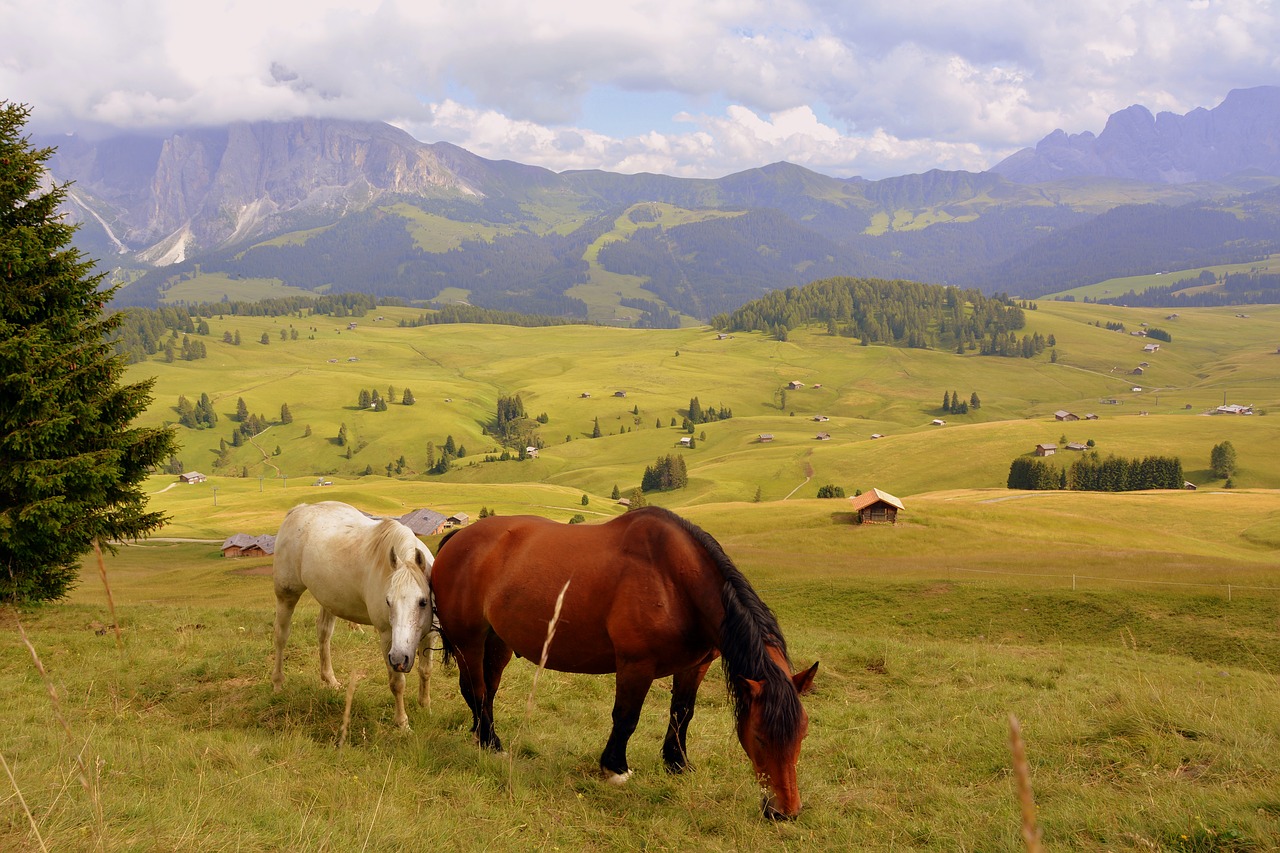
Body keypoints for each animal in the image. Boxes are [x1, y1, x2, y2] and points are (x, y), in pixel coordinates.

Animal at [272, 502, 437, 727]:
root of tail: (298, 510)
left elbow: (425, 671)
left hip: (329, 601)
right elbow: (397, 683)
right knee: (281, 636)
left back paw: (330, 680)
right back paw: (278, 684)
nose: (400, 658)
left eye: (423, 601)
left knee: (324, 633)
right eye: (388, 601)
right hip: (286, 595)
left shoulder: (429, 635)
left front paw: (426, 707)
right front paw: (402, 722)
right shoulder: (387, 638)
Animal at [430, 504, 808, 819]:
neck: (675, 580)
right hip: (469, 641)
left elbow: (682, 713)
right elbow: (626, 718)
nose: (784, 811)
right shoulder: (635, 665)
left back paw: (481, 735)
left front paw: (677, 763)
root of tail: (458, 538)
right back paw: (490, 743)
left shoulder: (695, 666)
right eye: (759, 737)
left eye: (802, 734)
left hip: (498, 642)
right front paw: (615, 768)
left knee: (487, 690)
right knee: (476, 689)